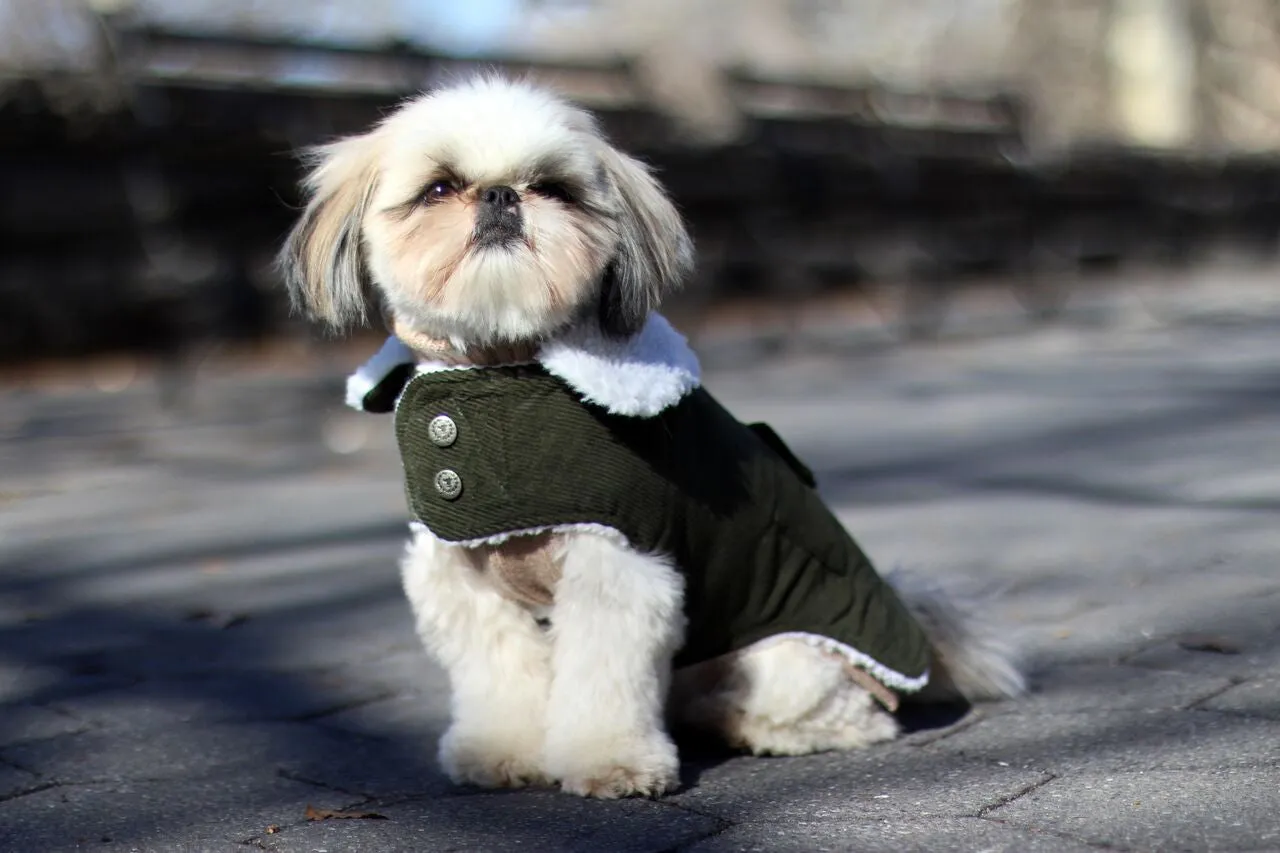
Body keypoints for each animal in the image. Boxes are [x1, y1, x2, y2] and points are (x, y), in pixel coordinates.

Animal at [280, 74, 1029, 799]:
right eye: (438, 188)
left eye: (554, 188)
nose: (500, 195)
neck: (501, 372)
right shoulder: (463, 578)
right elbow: (501, 678)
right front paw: (502, 753)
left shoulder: (618, 564)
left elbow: (603, 682)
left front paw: (612, 764)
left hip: (785, 658)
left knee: (849, 716)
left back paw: (739, 722)